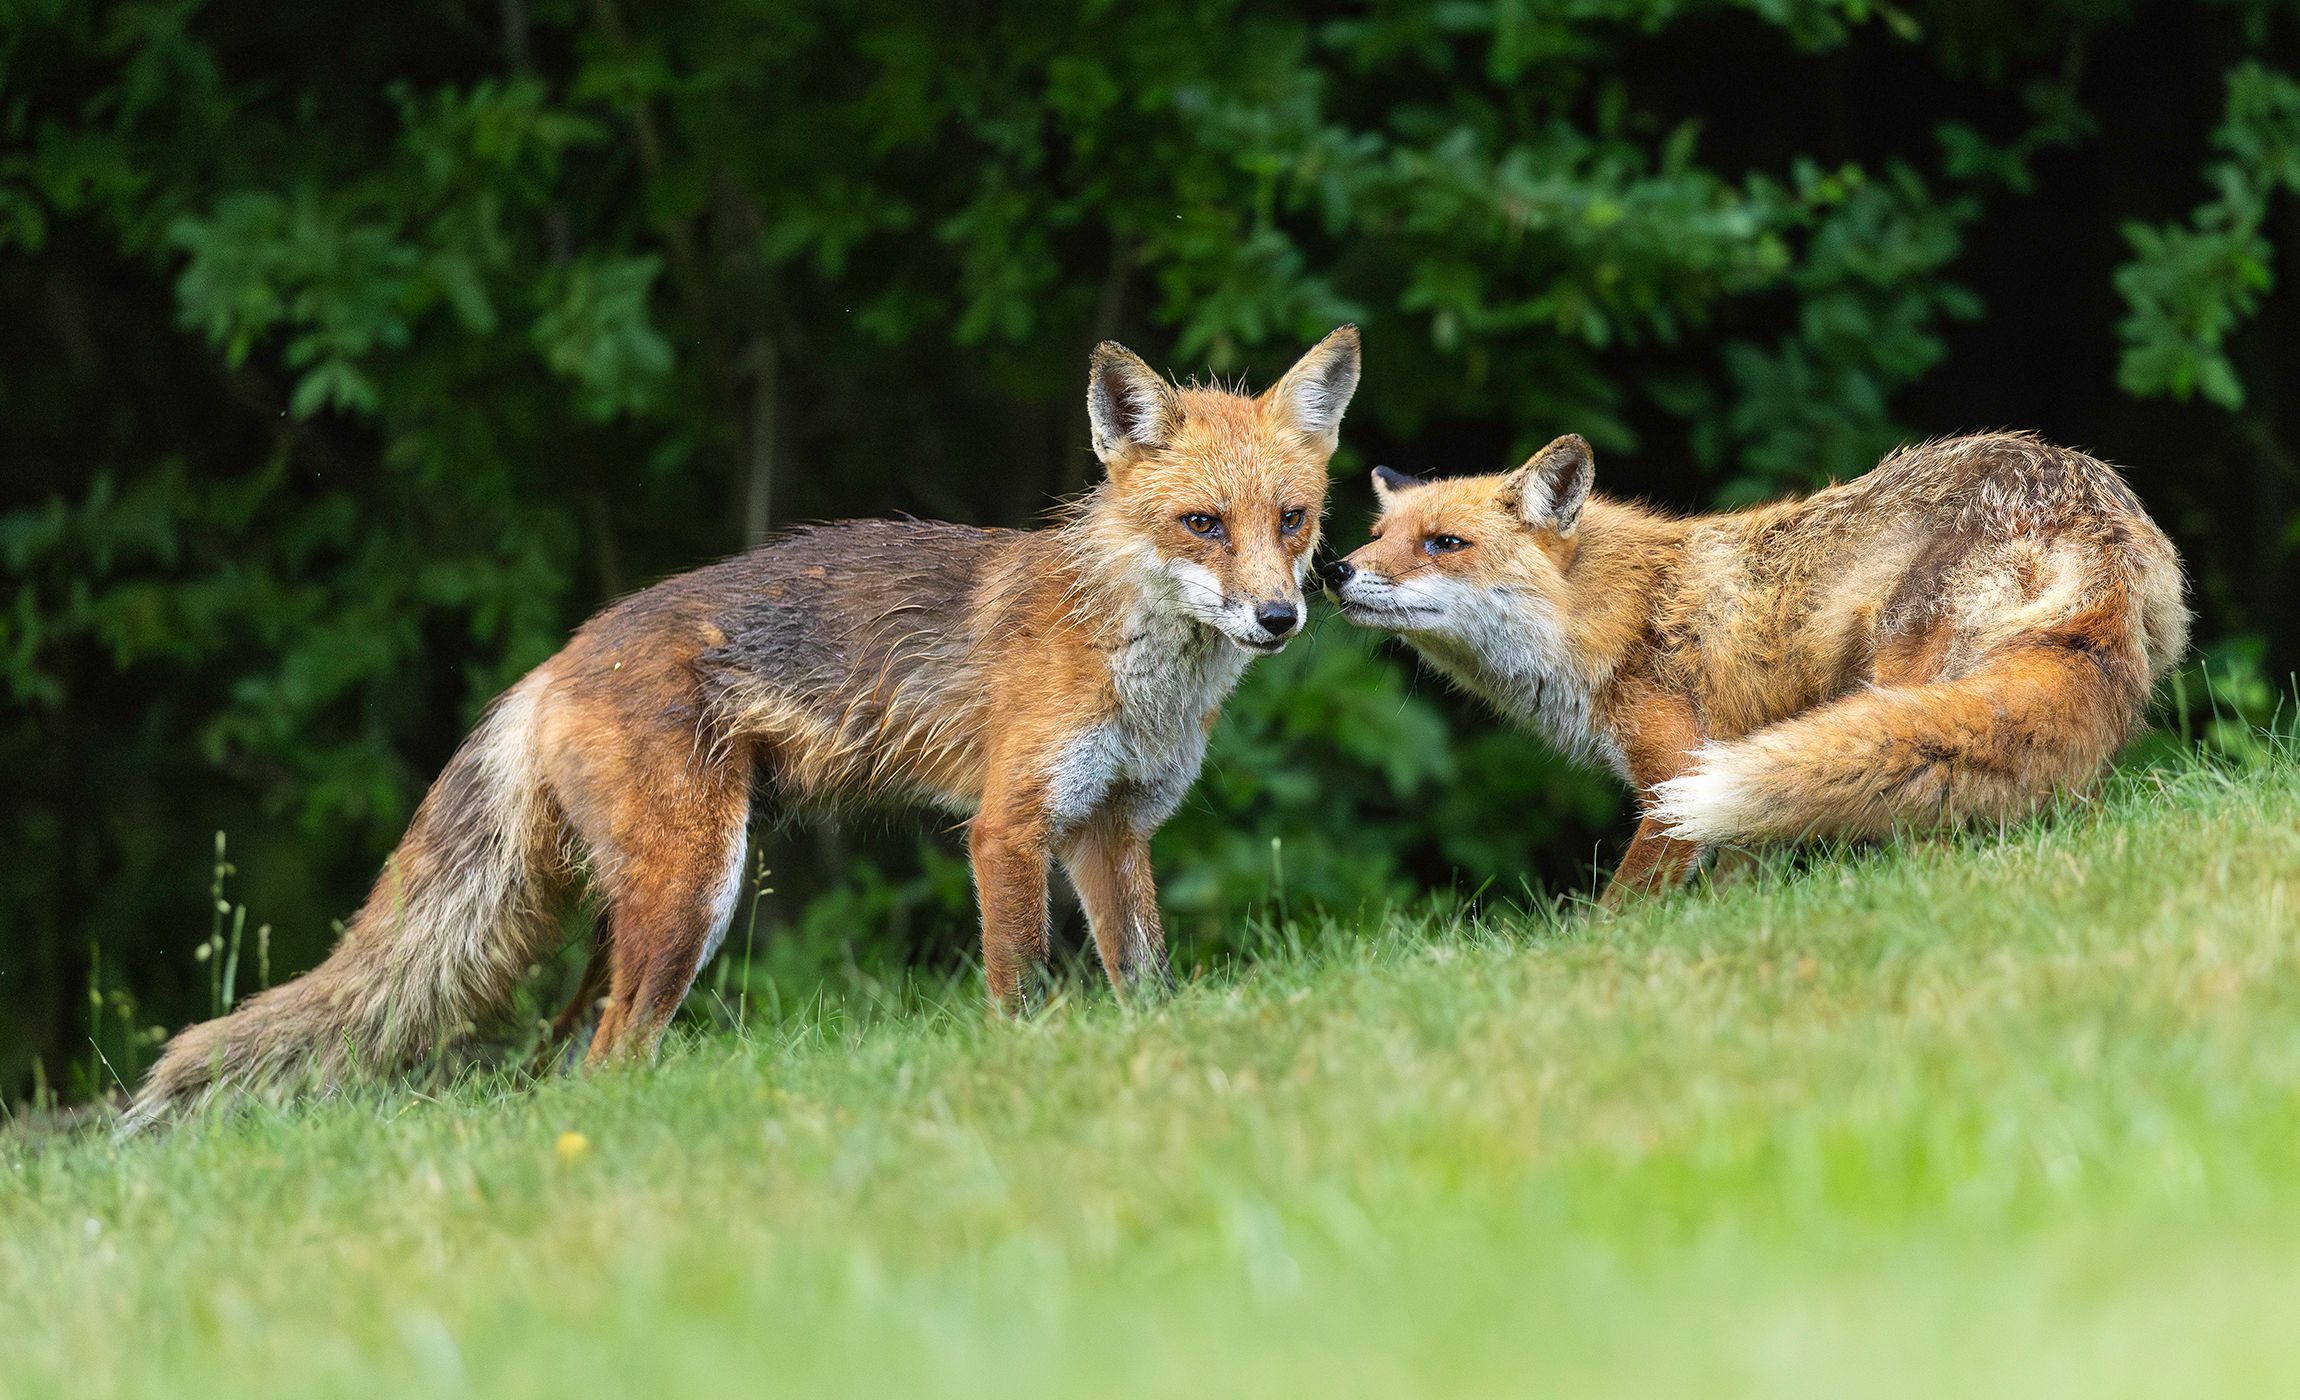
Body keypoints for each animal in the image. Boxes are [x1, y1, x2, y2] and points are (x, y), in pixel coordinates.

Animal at [123, 327, 1362, 1131]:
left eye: (1292, 520)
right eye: (1200, 523)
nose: (1279, 617)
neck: (1131, 659)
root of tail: (549, 663)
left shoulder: (1111, 829)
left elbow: (1143, 976)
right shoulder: (1008, 826)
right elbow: (1019, 978)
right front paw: (1023, 1069)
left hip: (645, 910)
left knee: (567, 1056)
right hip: (692, 892)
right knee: (603, 1063)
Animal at [1324, 431, 2189, 904]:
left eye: (1445, 544)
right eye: (1377, 534)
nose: (1333, 571)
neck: (1612, 616)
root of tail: (2088, 502)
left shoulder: (1677, 774)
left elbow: (1621, 909)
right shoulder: (1737, 813)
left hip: (1901, 698)